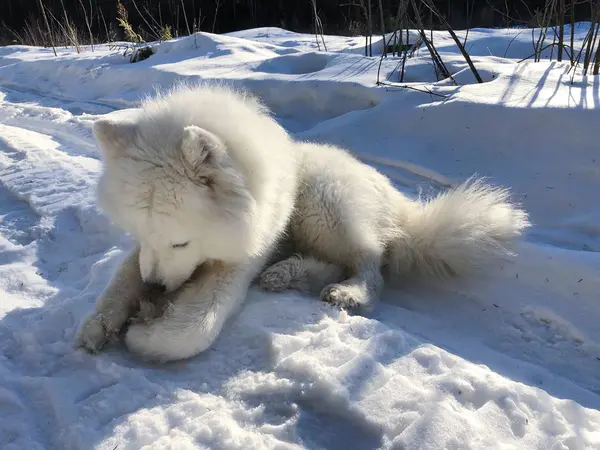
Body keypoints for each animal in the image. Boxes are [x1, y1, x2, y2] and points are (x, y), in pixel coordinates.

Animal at [75, 83, 528, 362]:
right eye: (138, 233)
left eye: (181, 242)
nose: (155, 288)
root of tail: (395, 199)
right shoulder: (141, 256)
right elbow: (120, 282)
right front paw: (101, 324)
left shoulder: (239, 259)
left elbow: (193, 329)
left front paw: (146, 329)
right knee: (334, 262)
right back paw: (286, 273)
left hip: (323, 202)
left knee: (370, 265)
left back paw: (346, 292)